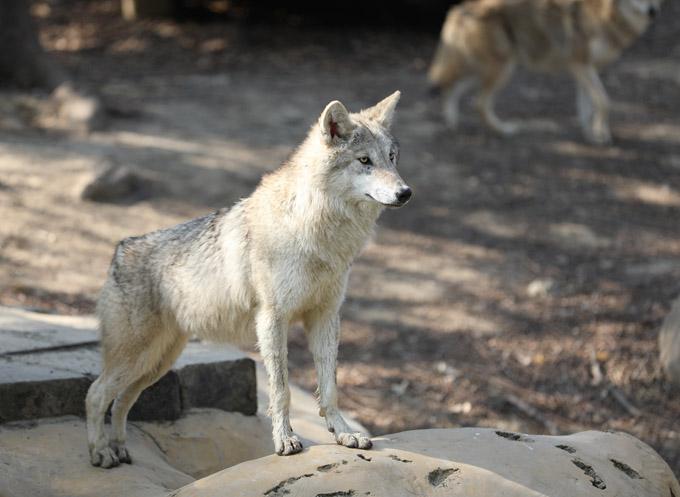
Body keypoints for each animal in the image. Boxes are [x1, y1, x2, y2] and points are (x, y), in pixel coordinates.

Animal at [84, 91, 410, 466]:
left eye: (391, 157)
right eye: (364, 160)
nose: (405, 192)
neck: (316, 231)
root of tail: (120, 248)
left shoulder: (326, 317)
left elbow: (329, 387)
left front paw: (343, 434)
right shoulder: (272, 319)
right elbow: (281, 390)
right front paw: (285, 441)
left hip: (156, 364)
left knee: (121, 401)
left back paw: (121, 449)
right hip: (137, 357)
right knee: (95, 394)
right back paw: (101, 453)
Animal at [428, 0, 660, 143]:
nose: (653, 11)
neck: (604, 14)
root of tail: (458, 9)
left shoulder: (585, 69)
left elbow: (587, 105)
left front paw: (590, 134)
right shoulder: (580, 64)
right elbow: (604, 101)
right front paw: (600, 134)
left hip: (488, 69)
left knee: (451, 88)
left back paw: (452, 122)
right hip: (502, 69)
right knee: (478, 102)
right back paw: (504, 130)